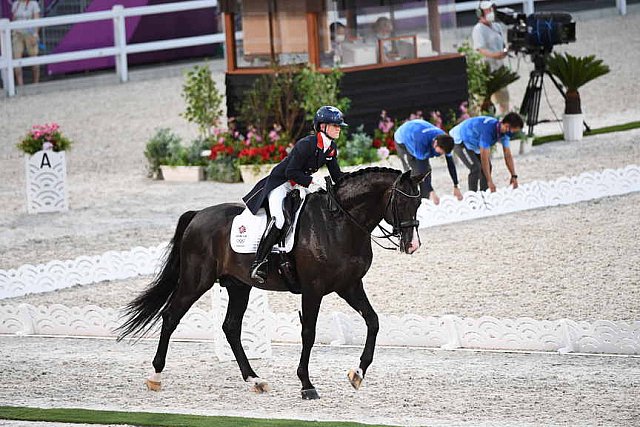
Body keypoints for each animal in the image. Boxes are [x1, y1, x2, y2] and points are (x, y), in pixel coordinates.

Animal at [117, 166, 428, 400]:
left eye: (419, 202)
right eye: (401, 201)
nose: (412, 245)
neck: (340, 222)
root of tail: (197, 215)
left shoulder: (349, 286)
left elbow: (373, 322)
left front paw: (357, 374)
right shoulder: (313, 290)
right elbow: (308, 333)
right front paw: (306, 385)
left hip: (238, 285)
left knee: (230, 327)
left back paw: (254, 379)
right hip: (196, 280)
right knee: (171, 316)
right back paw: (155, 376)